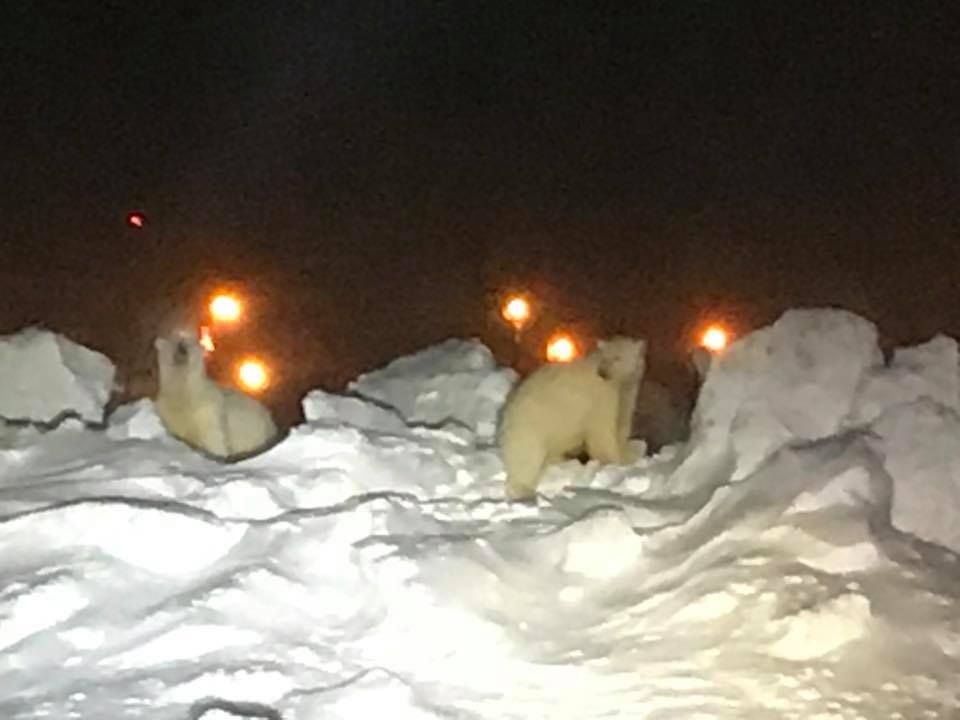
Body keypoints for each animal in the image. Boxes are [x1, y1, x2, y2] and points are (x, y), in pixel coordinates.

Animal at [153, 329, 278, 460]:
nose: (182, 347)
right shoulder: (169, 413)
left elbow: (214, 438)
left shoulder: (208, 410)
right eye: (174, 340)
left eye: (190, 341)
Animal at [498, 335, 646, 500]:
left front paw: (629, 452)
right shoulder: (600, 399)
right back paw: (523, 490)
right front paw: (618, 461)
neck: (617, 384)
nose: (603, 373)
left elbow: (622, 424)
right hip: (533, 425)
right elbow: (602, 432)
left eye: (617, 358)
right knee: (527, 457)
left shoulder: (627, 394)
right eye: (604, 358)